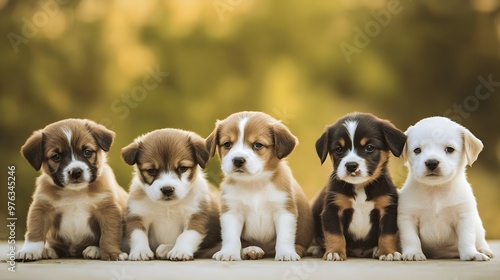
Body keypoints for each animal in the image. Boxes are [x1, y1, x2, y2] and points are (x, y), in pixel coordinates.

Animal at [16, 119, 128, 262]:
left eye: (87, 152)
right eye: (56, 156)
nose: (76, 172)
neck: (75, 193)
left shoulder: (108, 210)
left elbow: (109, 235)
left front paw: (112, 252)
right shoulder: (41, 209)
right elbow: (35, 232)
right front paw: (30, 251)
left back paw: (94, 250)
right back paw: (48, 250)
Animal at [122, 128, 220, 262]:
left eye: (182, 168)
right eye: (151, 171)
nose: (167, 189)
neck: (167, 207)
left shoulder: (196, 217)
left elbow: (186, 236)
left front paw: (180, 250)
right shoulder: (137, 216)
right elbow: (138, 235)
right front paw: (140, 251)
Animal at [207, 111, 312, 260]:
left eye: (257, 145)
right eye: (227, 144)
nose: (238, 160)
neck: (254, 183)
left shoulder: (284, 211)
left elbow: (284, 237)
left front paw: (286, 253)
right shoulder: (232, 212)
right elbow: (231, 237)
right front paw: (228, 252)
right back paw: (251, 250)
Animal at [312, 112, 406, 262]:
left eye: (369, 147)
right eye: (339, 149)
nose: (351, 166)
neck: (360, 186)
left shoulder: (388, 209)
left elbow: (387, 235)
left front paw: (388, 252)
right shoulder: (333, 209)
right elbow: (334, 234)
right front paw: (335, 252)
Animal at [398, 116, 492, 260]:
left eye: (450, 149)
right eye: (417, 150)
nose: (431, 163)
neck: (435, 190)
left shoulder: (464, 217)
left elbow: (467, 238)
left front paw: (470, 254)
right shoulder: (407, 217)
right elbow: (411, 238)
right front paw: (414, 253)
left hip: (479, 226)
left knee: (480, 240)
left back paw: (484, 250)